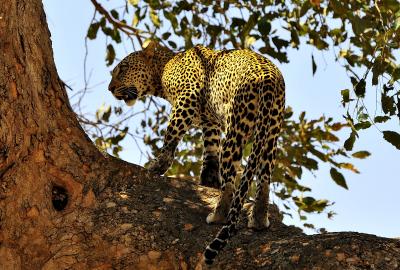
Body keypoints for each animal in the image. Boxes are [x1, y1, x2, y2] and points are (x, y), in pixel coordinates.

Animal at [108, 41, 286, 264]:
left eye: (122, 69)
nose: (110, 89)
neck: (162, 68)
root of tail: (268, 77)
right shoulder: (210, 122)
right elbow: (210, 153)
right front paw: (208, 181)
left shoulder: (188, 97)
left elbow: (171, 135)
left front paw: (158, 165)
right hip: (271, 132)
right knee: (264, 177)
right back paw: (259, 219)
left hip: (237, 124)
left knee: (230, 182)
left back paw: (218, 216)